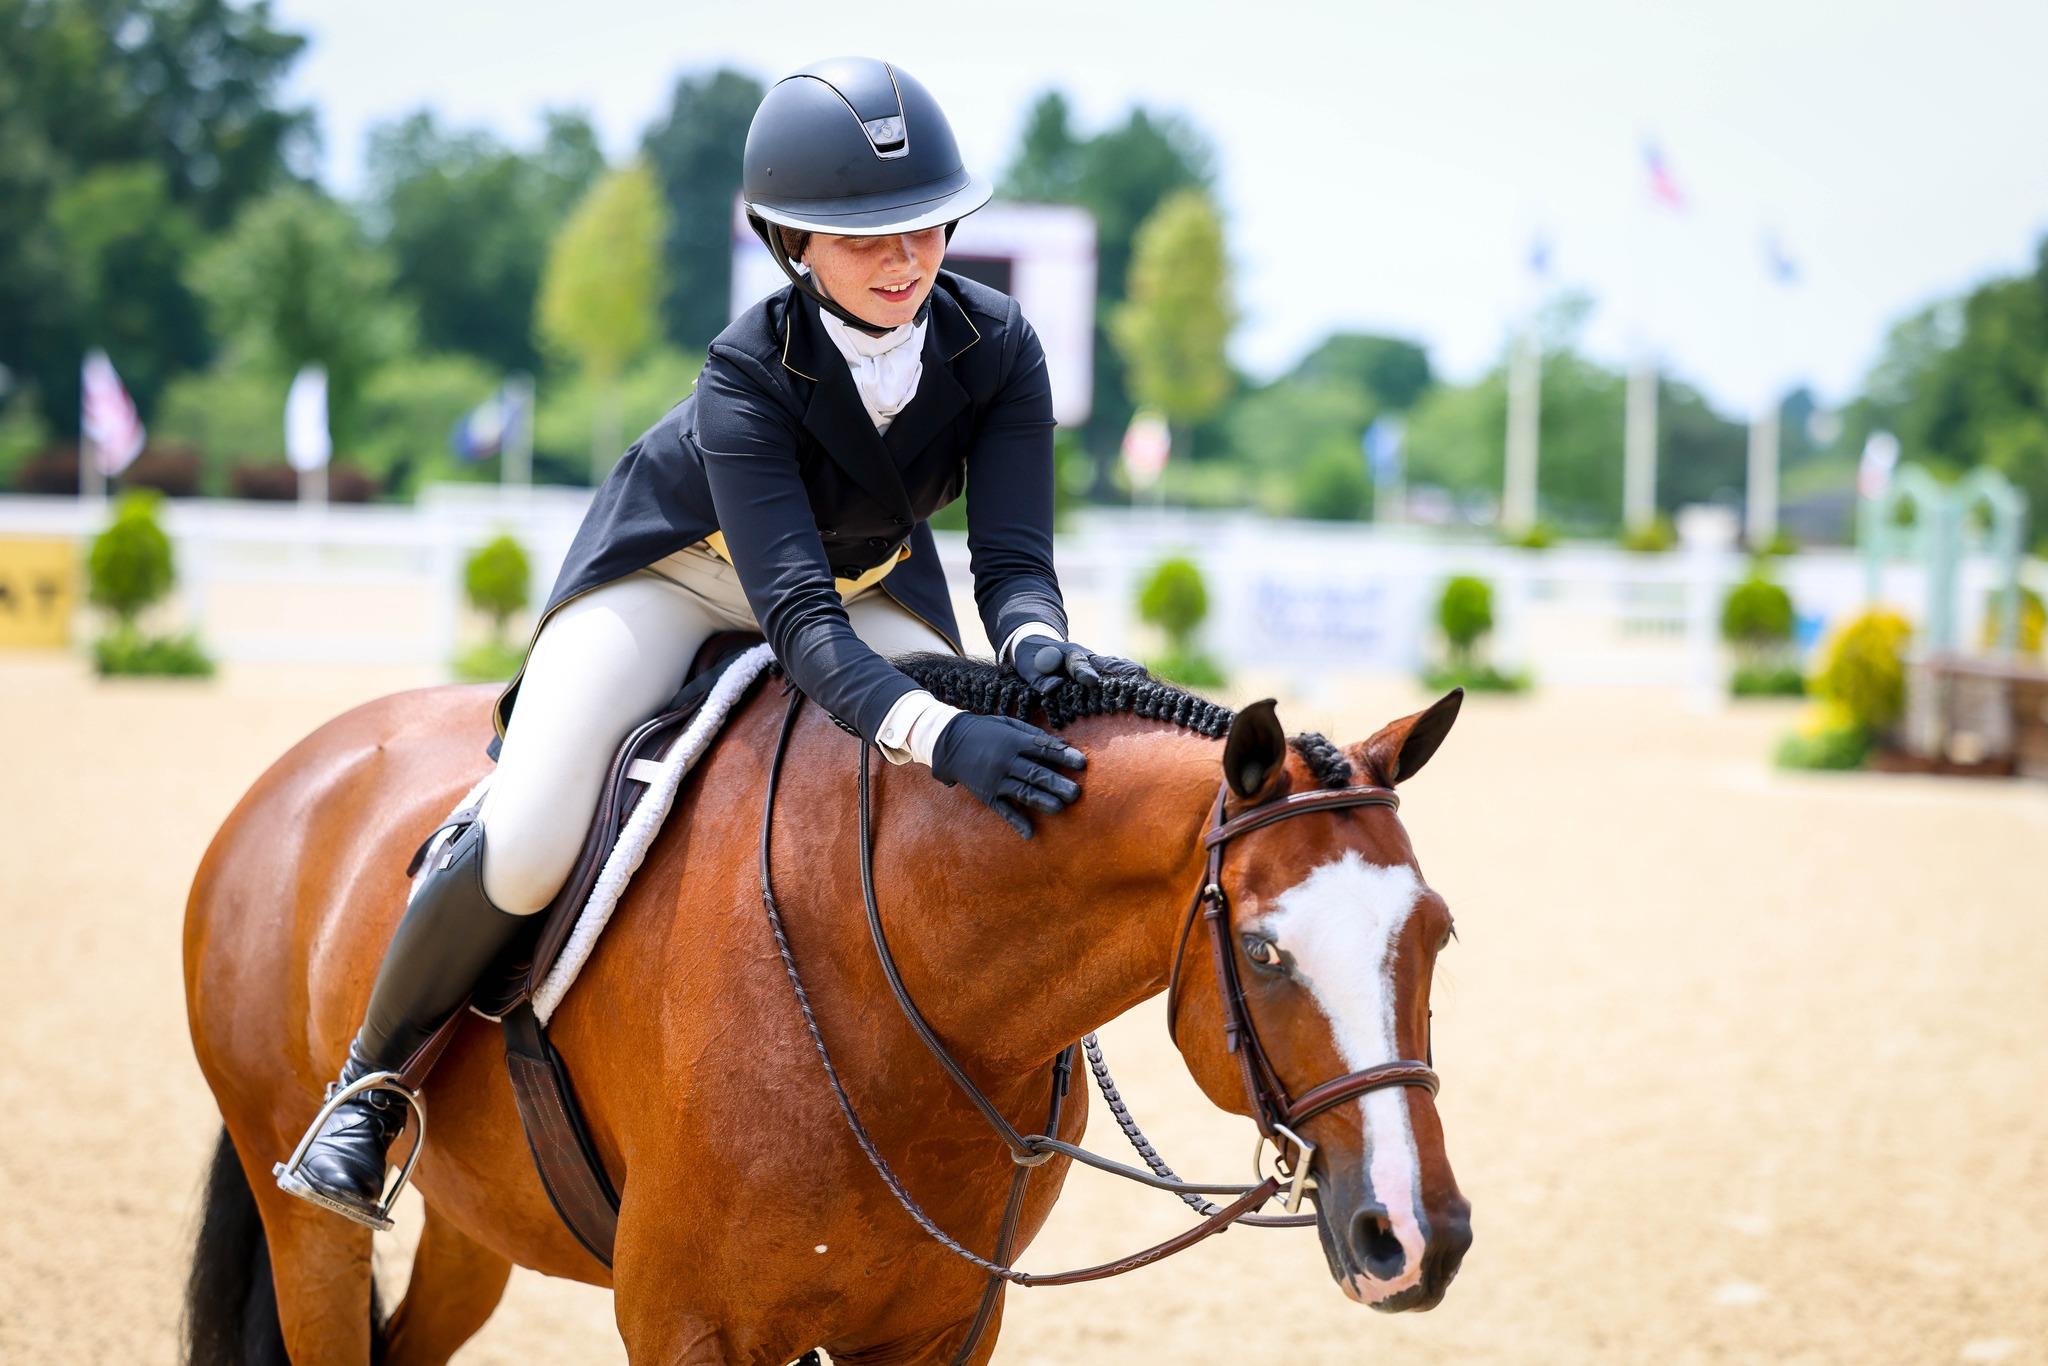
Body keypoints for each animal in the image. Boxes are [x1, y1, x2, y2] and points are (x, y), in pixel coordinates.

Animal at [182, 655, 1472, 1364]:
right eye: (1263, 951)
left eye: (1436, 934)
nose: (1416, 1239)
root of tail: (300, 771)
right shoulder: (683, 1325)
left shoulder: (940, 1332)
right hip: (308, 1220)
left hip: (472, 1224)